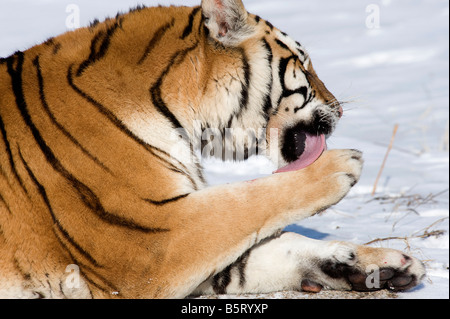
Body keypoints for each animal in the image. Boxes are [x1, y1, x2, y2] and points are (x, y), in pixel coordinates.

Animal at [0, 0, 426, 300]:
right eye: (303, 65)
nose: (338, 107)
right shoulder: (147, 240)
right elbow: (244, 201)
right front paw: (340, 165)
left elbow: (271, 249)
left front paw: (382, 266)